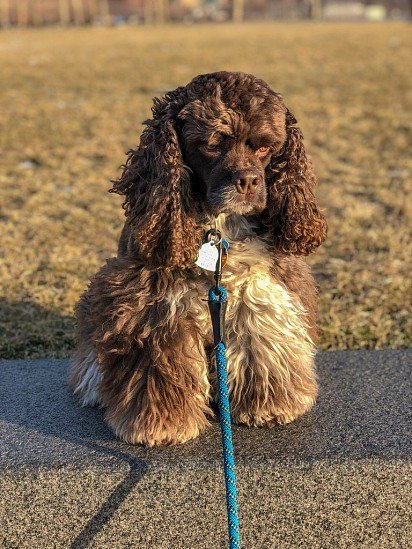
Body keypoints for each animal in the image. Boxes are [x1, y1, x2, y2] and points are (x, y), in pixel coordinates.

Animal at [69, 69, 326, 446]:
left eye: (265, 147)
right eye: (210, 145)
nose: (248, 181)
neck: (219, 229)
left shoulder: (258, 291)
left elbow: (260, 344)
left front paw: (269, 405)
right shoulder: (154, 302)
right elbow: (161, 363)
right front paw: (162, 424)